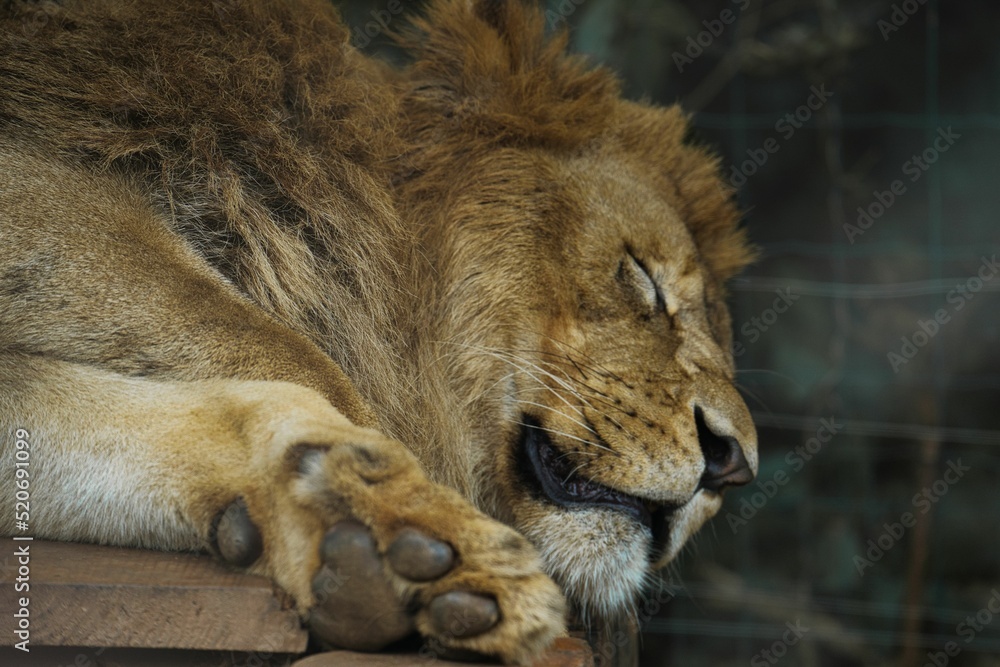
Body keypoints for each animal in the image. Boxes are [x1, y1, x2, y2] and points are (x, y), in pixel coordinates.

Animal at [0, 0, 757, 663]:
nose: (734, 464)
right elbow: (293, 358)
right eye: (646, 278)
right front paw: (414, 525)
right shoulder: (40, 192)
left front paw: (370, 532)